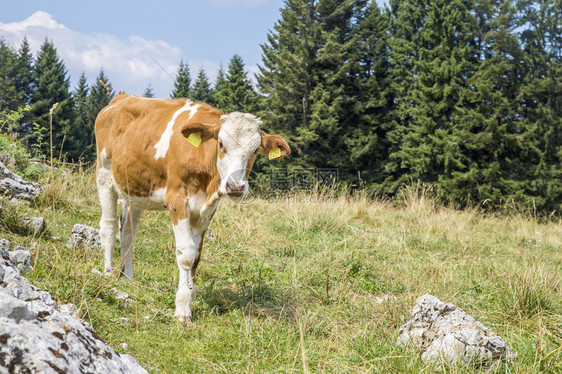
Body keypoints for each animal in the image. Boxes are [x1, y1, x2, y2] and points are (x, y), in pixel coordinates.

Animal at [94, 93, 288, 322]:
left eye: (255, 150)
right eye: (221, 144)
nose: (235, 186)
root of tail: (122, 96)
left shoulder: (207, 209)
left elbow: (197, 254)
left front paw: (191, 292)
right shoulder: (177, 199)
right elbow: (186, 254)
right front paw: (183, 306)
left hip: (136, 189)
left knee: (127, 233)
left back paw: (127, 279)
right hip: (104, 175)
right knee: (108, 227)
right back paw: (108, 274)